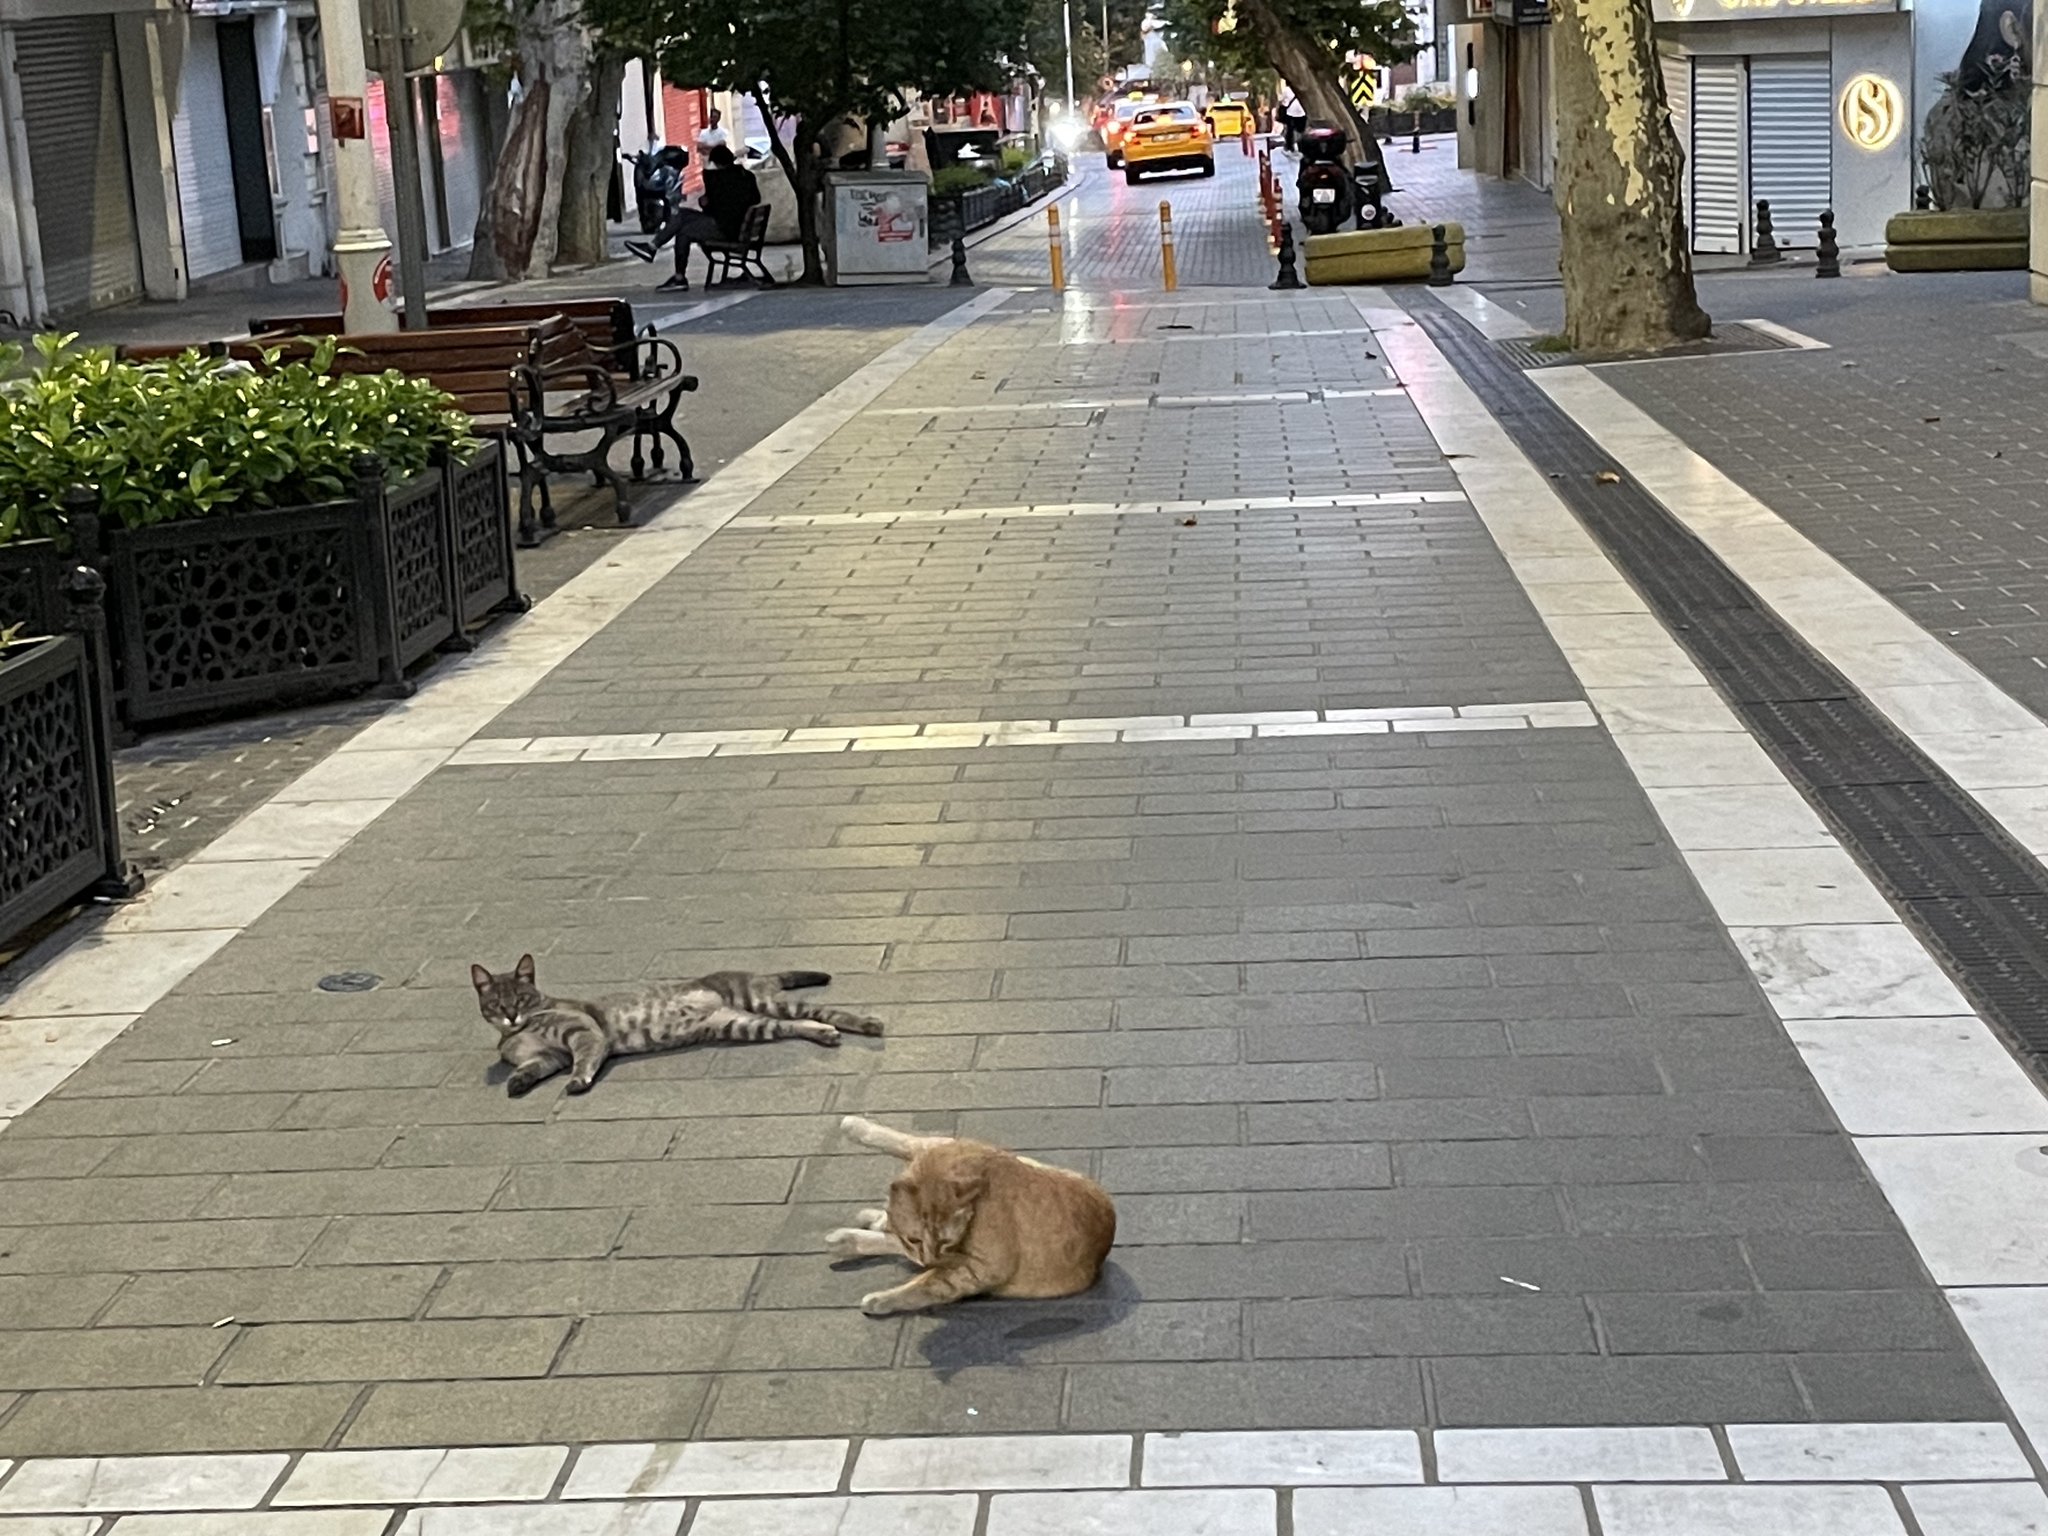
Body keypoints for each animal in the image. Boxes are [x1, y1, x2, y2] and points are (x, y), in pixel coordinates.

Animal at [468, 958, 884, 1097]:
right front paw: (517, 1082)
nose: (510, 1016)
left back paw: (868, 1022)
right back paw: (823, 1034)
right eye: (497, 1004)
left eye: (521, 999)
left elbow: (583, 1061)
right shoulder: (548, 1056)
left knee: (827, 1010)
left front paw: (578, 1081)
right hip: (744, 1024)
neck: (519, 1033)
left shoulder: (584, 1034)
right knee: (795, 1025)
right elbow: (530, 1069)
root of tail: (759, 974)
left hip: (763, 1001)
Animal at [819, 1114, 1122, 1318]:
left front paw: (884, 1299)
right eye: (915, 1239)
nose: (929, 1258)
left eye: (945, 1241)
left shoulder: (982, 1269)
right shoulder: (938, 1146)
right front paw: (854, 1126)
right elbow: (904, 1140)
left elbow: (927, 1284)